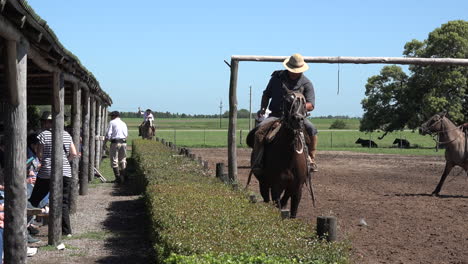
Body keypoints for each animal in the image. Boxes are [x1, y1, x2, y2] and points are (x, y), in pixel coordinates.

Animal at [245, 87, 314, 218]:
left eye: (303, 103)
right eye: (287, 101)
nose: (297, 119)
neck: (289, 158)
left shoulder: (297, 188)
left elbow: (292, 211)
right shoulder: (276, 186)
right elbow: (277, 203)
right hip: (264, 183)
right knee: (266, 198)